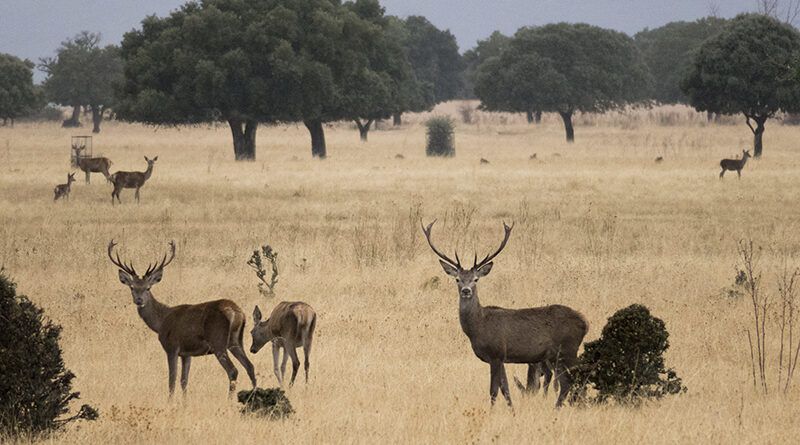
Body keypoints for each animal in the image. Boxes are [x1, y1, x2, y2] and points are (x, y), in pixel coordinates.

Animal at [107, 239, 256, 396]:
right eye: (132, 287)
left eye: (148, 288)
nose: (139, 300)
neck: (161, 322)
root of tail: (236, 312)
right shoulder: (186, 353)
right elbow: (184, 381)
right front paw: (184, 401)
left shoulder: (172, 347)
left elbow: (171, 381)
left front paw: (170, 401)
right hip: (236, 340)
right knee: (250, 366)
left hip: (218, 341)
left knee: (233, 370)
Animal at [424, 220, 588, 408]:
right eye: (457, 279)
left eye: (475, 279)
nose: (466, 290)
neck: (478, 327)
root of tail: (585, 323)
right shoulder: (500, 357)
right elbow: (505, 389)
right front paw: (512, 410)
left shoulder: (496, 352)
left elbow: (494, 390)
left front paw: (491, 411)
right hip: (557, 356)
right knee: (568, 383)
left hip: (568, 349)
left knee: (574, 381)